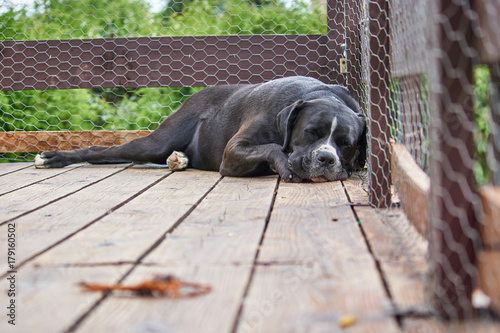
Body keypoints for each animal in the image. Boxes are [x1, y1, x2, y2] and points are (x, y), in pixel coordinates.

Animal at [33, 76, 366, 182]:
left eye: (345, 143)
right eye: (311, 132)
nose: (326, 159)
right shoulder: (233, 153)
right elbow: (272, 147)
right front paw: (285, 165)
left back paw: (178, 160)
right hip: (156, 141)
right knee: (105, 149)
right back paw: (53, 158)